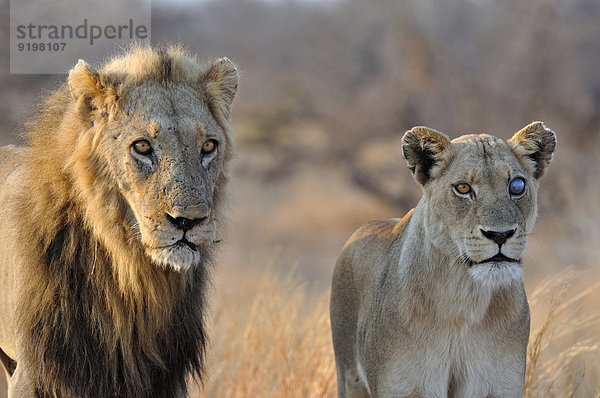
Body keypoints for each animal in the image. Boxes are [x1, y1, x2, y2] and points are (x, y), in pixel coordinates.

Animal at [0, 45, 239, 396]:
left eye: (208, 146)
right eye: (142, 146)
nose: (188, 221)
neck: (130, 271)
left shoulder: (163, 376)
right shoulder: (36, 368)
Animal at [330, 123, 556, 396]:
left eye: (517, 185)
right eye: (463, 188)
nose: (500, 234)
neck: (464, 296)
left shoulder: (498, 386)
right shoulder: (403, 387)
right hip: (348, 376)